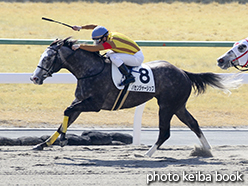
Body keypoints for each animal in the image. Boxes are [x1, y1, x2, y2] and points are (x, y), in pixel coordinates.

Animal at [30, 37, 231, 156]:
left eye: (47, 58)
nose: (34, 78)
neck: (90, 70)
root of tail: (183, 72)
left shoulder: (94, 104)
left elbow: (67, 111)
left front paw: (63, 140)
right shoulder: (80, 101)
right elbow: (67, 118)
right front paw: (43, 144)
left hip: (166, 106)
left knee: (165, 132)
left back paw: (147, 154)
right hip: (178, 106)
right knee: (194, 123)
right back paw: (207, 149)